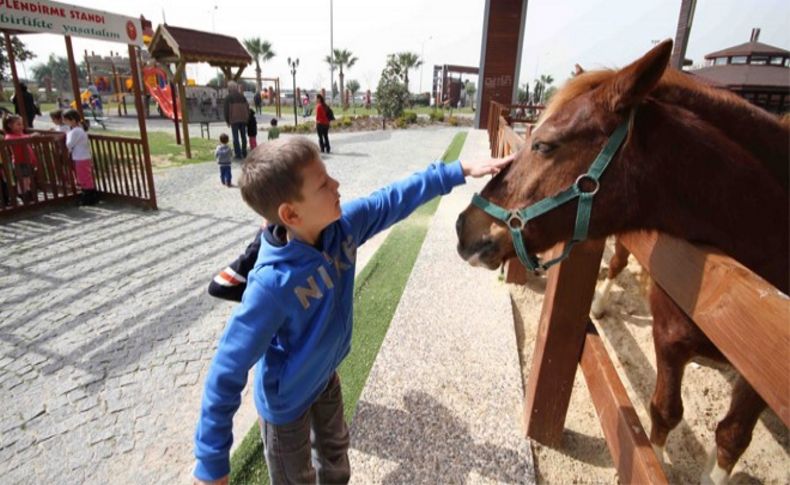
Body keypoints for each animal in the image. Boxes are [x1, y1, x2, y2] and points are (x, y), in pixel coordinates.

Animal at [454, 38, 788, 484]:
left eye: (545, 144)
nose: (464, 227)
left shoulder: (762, 375)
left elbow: (731, 437)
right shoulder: (669, 335)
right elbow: (664, 412)